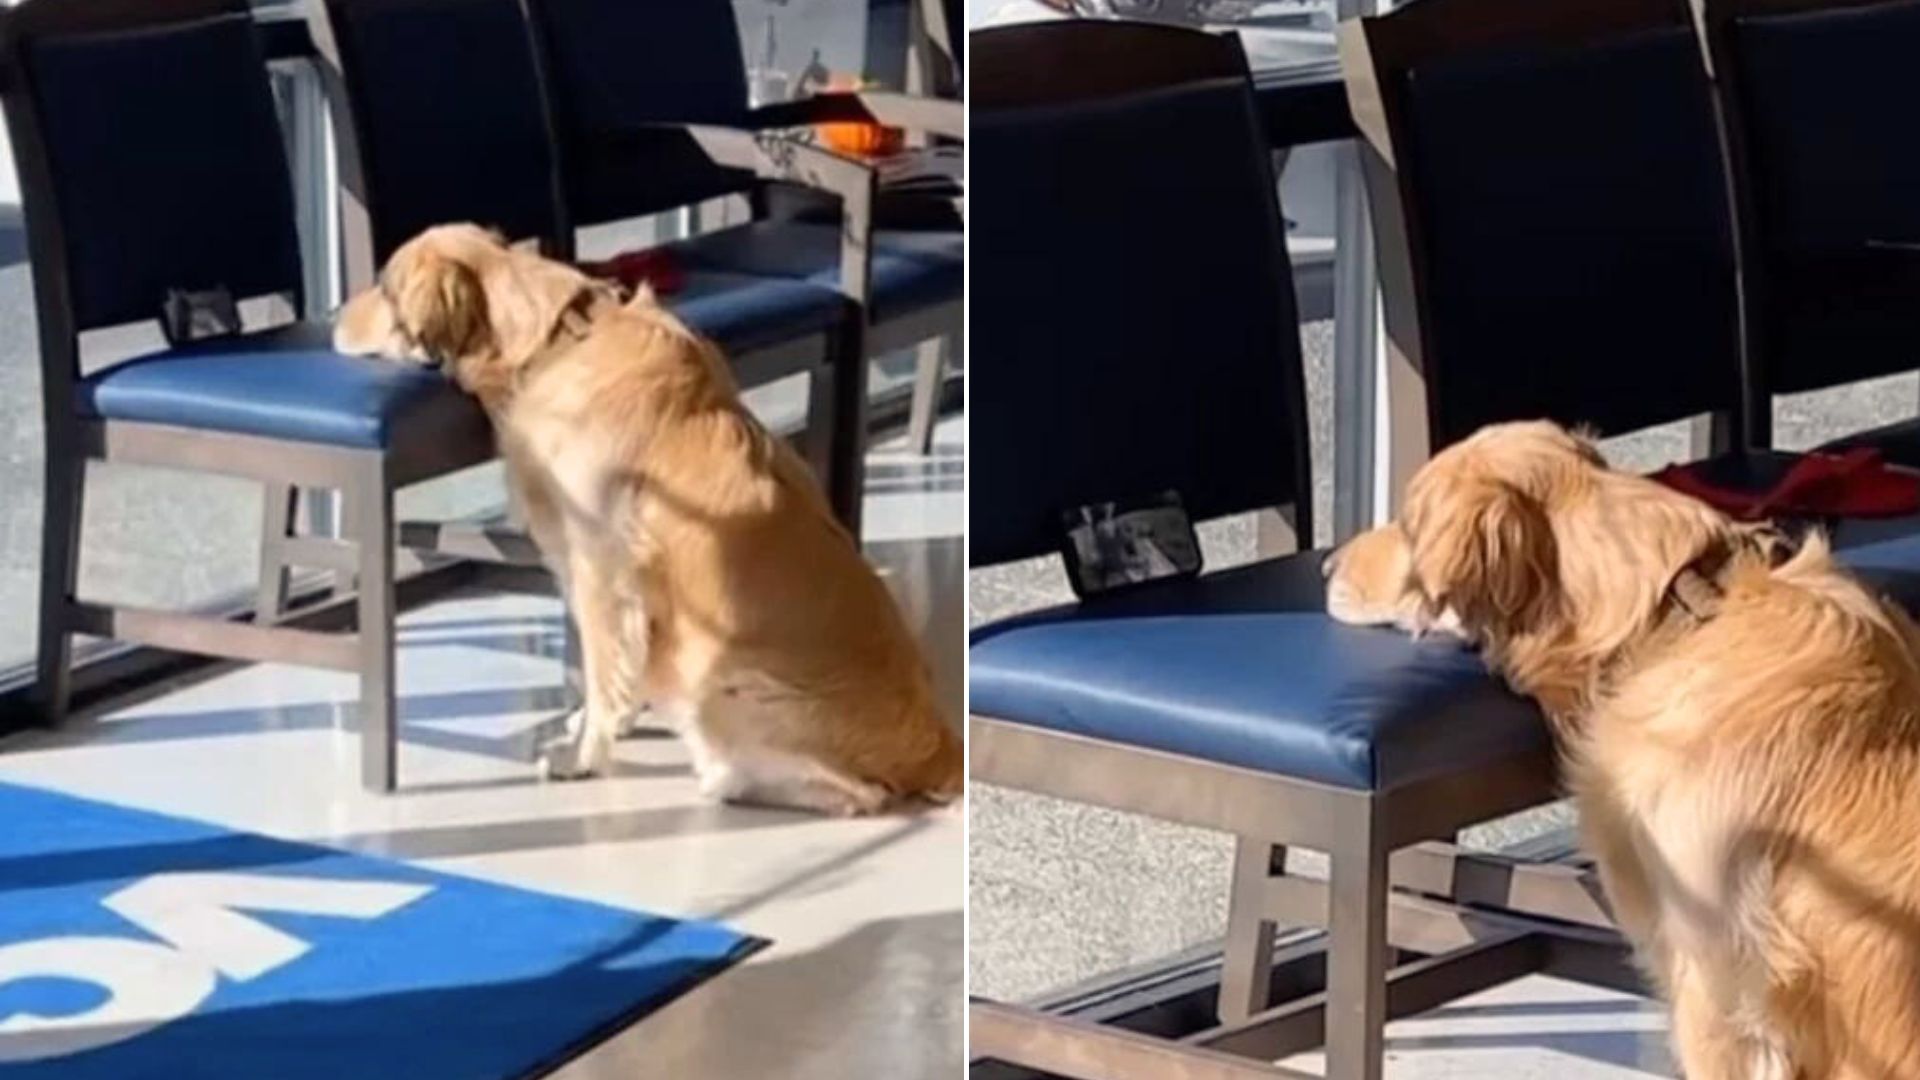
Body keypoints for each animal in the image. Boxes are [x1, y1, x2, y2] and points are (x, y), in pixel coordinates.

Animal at [334, 222, 960, 810]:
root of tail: (940, 751)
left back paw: (724, 778)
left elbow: (602, 664)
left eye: (384, 287)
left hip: (718, 683)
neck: (557, 343)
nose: (335, 318)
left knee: (858, 793)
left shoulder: (598, 562)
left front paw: (582, 755)